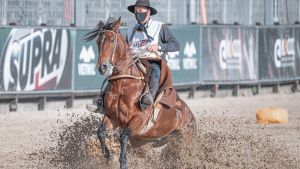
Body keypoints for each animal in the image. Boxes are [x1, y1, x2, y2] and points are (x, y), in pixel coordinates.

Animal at [83, 17, 196, 169]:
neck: (124, 86)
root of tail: (189, 114)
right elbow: (100, 132)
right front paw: (108, 155)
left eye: (112, 40)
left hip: (186, 140)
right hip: (142, 142)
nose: (102, 67)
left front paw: (123, 163)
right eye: (98, 41)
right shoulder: (112, 117)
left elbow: (123, 137)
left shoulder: (139, 120)